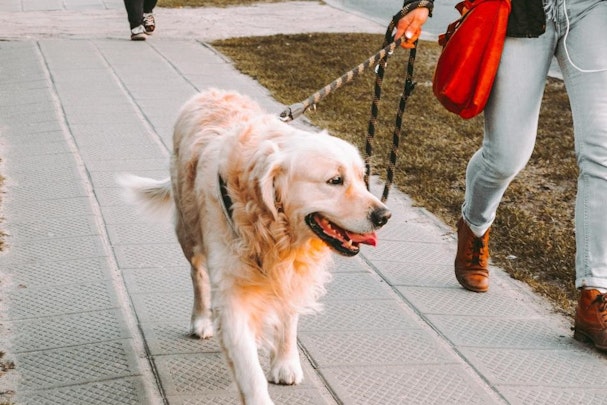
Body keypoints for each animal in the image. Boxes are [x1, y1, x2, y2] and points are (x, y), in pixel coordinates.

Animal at [120, 89, 390, 404]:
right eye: (335, 180)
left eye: (362, 178)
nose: (384, 216)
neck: (273, 229)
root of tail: (210, 92)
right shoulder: (232, 294)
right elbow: (248, 367)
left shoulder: (291, 274)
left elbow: (288, 319)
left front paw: (285, 363)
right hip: (188, 230)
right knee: (198, 275)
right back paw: (200, 320)